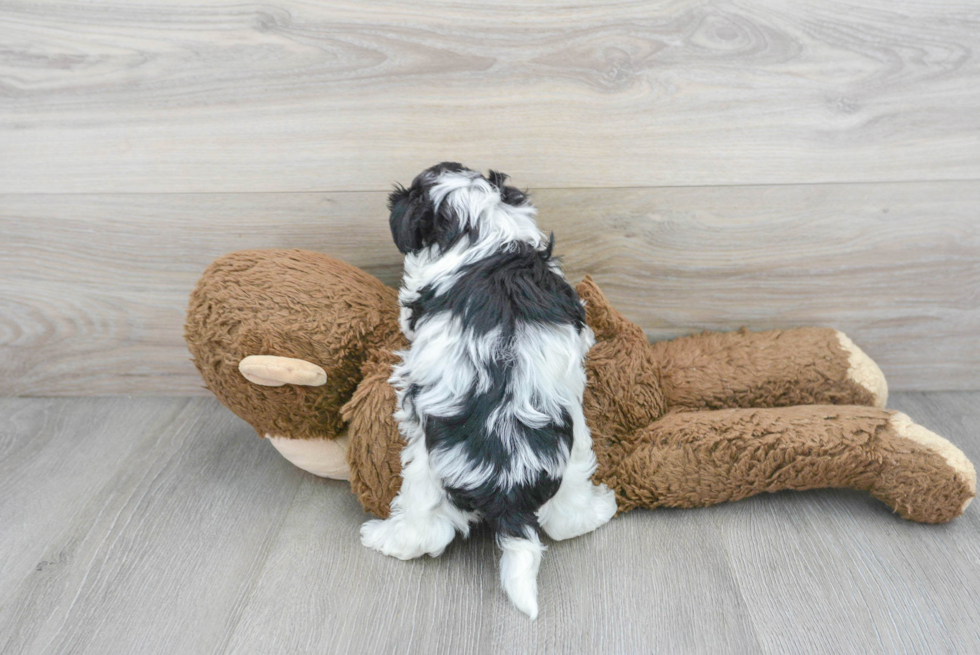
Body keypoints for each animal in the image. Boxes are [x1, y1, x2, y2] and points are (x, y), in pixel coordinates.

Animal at [364, 163, 616, 620]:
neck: (483, 230)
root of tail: (508, 490)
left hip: (425, 468)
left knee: (424, 529)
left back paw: (384, 537)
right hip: (573, 455)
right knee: (565, 520)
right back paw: (598, 509)